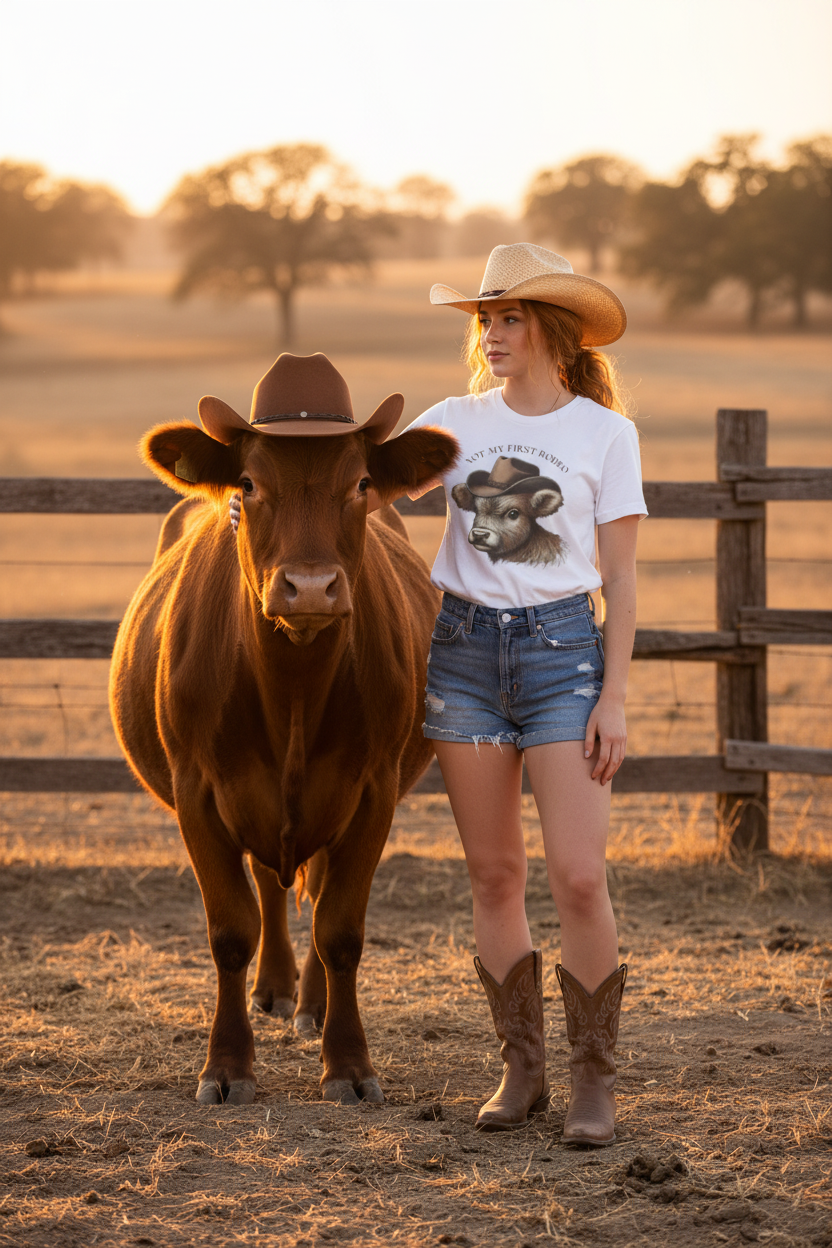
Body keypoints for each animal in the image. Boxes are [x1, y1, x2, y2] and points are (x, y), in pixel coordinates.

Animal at [109, 353, 458, 1108]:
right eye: (247, 484)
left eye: (360, 483)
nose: (310, 587)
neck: (291, 689)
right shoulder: (197, 792)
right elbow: (230, 931)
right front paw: (226, 1066)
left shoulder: (372, 790)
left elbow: (341, 928)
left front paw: (348, 1064)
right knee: (270, 887)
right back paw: (274, 990)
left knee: (312, 888)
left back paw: (313, 1004)